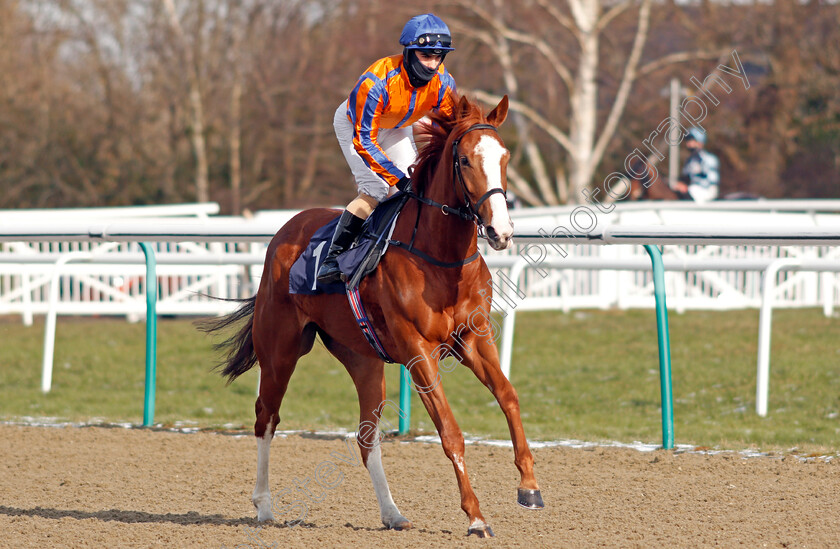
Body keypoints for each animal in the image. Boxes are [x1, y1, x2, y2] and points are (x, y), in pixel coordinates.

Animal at [204, 94, 544, 536]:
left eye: (504, 157)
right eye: (465, 160)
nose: (501, 231)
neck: (441, 258)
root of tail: (285, 230)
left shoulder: (473, 338)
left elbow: (508, 396)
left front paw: (529, 486)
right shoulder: (419, 351)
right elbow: (450, 431)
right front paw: (475, 517)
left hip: (363, 359)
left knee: (366, 438)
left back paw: (392, 513)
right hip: (280, 350)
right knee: (266, 417)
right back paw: (263, 505)